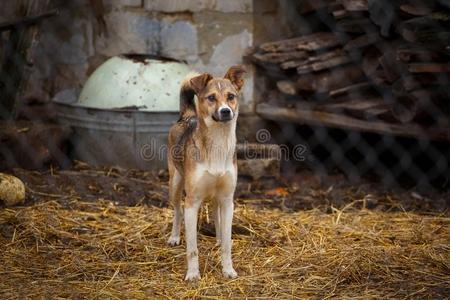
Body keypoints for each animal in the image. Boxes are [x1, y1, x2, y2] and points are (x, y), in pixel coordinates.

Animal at [167, 65, 246, 282]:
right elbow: (192, 248)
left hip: (217, 196)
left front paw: (228, 269)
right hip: (175, 184)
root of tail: (187, 116)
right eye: (211, 98)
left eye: (231, 96)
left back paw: (217, 239)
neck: (218, 141)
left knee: (216, 214)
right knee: (177, 211)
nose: (226, 111)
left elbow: (227, 242)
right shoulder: (192, 202)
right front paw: (193, 274)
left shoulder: (228, 200)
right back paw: (174, 237)